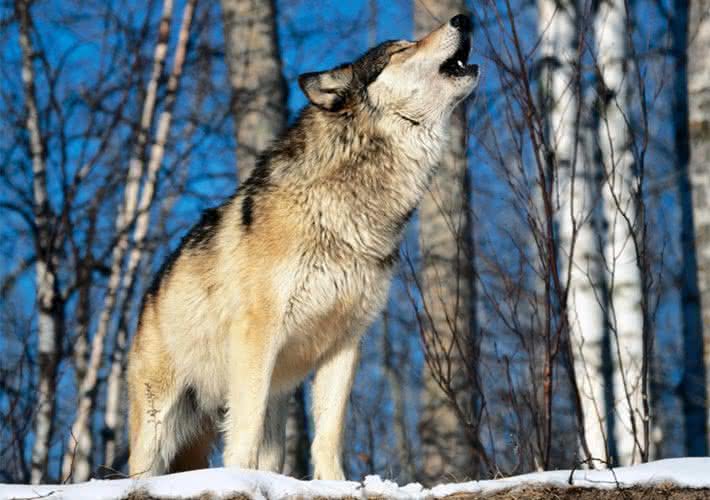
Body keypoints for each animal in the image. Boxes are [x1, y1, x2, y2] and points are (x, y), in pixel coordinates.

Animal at [127, 14, 479, 480]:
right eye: (401, 49)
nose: (464, 18)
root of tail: (148, 294)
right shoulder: (257, 335)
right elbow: (244, 431)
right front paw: (240, 480)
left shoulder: (345, 344)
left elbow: (328, 434)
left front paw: (336, 484)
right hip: (159, 424)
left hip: (272, 402)